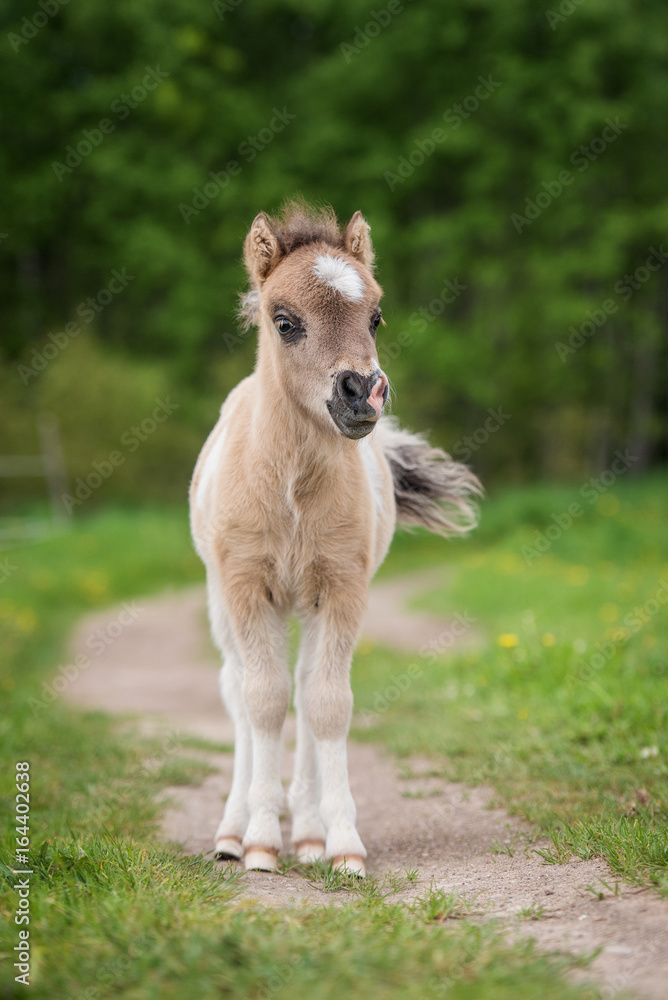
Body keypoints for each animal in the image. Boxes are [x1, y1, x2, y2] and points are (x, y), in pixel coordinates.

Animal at [189, 201, 481, 876]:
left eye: (375, 316)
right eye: (285, 321)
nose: (363, 392)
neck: (292, 492)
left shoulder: (343, 589)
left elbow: (326, 703)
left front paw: (341, 843)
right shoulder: (247, 588)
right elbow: (264, 700)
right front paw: (260, 843)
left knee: (301, 686)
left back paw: (307, 833)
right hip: (221, 601)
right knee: (237, 691)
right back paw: (232, 830)